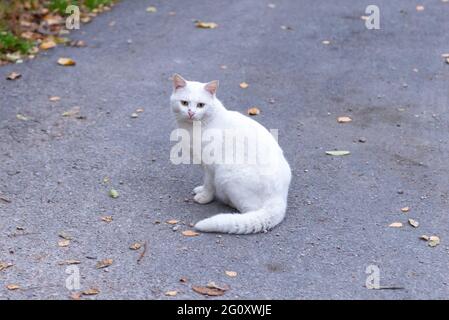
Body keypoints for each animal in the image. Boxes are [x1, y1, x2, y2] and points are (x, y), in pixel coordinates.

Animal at [170, 75, 292, 235]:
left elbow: (209, 184)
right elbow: (205, 182)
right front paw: (201, 190)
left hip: (226, 173)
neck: (194, 127)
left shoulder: (211, 166)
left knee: (250, 211)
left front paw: (204, 197)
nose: (191, 113)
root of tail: (280, 198)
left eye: (201, 105)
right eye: (184, 103)